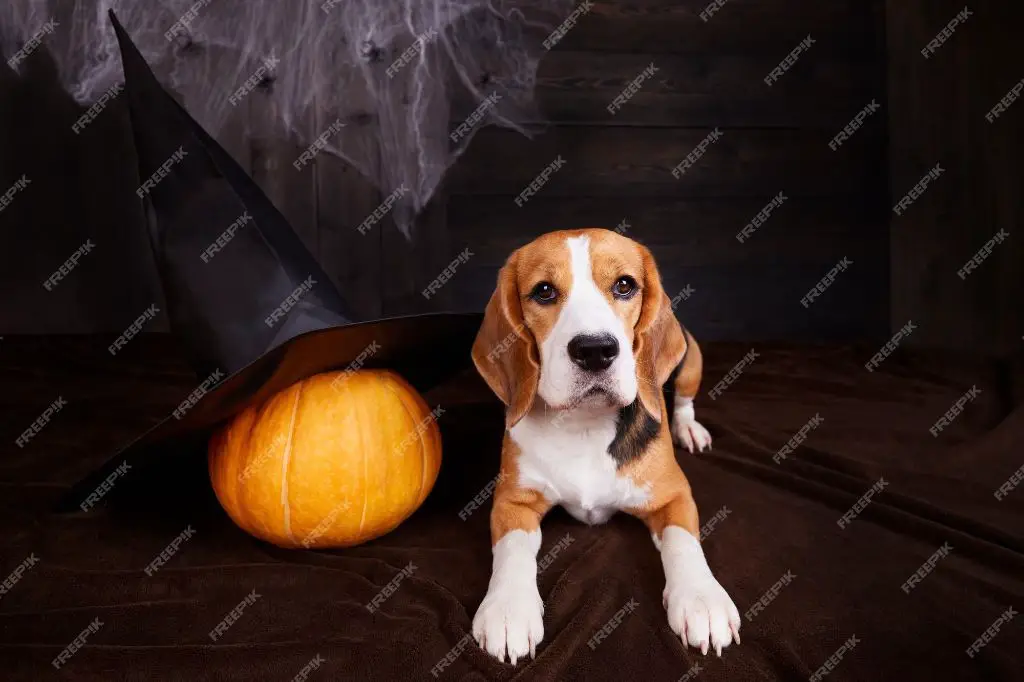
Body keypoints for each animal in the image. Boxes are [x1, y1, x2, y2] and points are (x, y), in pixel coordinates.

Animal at [468, 227, 741, 659]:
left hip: (690, 357)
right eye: (544, 291)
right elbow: (512, 550)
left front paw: (701, 599)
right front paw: (508, 607)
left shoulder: (674, 495)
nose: (595, 350)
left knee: (683, 399)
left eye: (624, 285)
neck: (584, 424)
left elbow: (683, 541)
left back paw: (689, 428)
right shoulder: (512, 501)